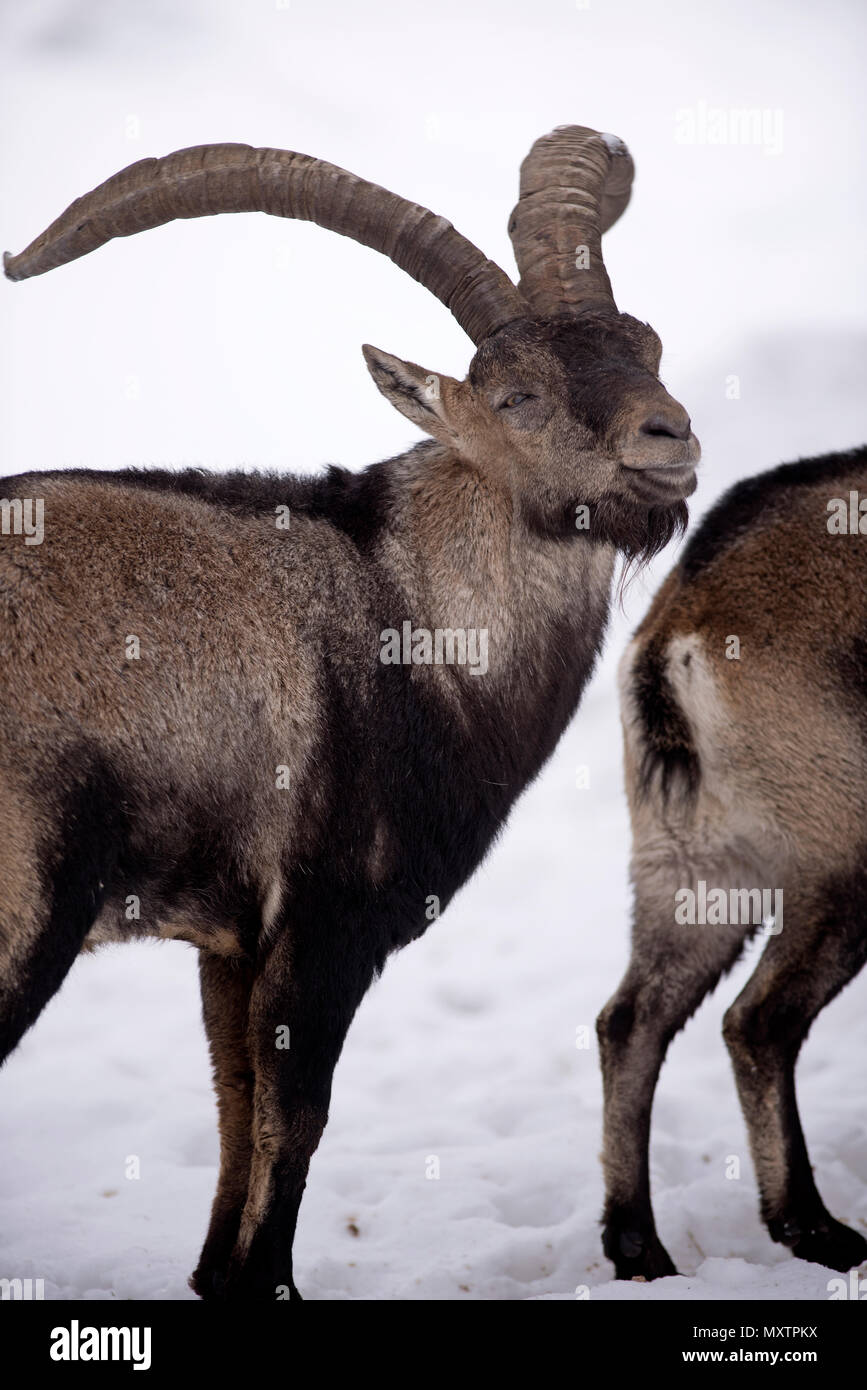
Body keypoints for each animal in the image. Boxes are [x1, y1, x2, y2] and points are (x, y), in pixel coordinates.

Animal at [1, 128, 698, 1300]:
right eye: (514, 396)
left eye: (645, 343)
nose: (670, 437)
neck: (407, 607)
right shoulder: (328, 920)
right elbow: (296, 1122)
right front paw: (269, 1280)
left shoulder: (231, 936)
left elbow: (236, 1112)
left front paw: (218, 1277)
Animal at [598, 445, 867, 1280]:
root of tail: (679, 630)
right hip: (841, 854)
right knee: (758, 1021)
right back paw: (811, 1227)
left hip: (687, 864)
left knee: (629, 1022)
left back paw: (638, 1246)